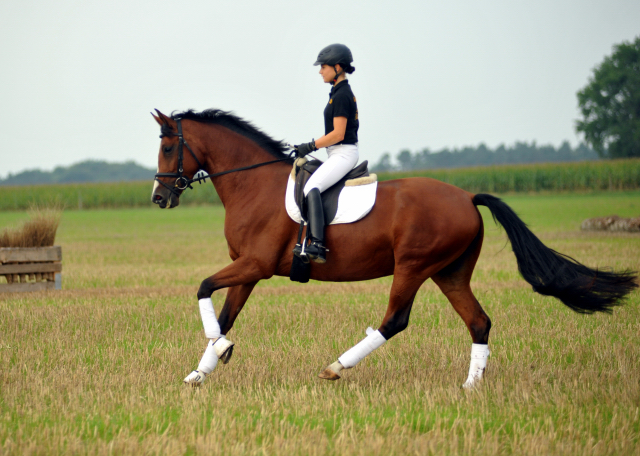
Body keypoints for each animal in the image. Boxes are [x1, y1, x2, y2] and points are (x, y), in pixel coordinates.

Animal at [152, 108, 636, 386]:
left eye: (169, 146)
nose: (158, 198)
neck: (253, 184)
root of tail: (466, 196)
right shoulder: (248, 269)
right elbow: (225, 313)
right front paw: (201, 371)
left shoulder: (256, 264)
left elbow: (203, 287)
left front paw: (218, 352)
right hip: (450, 271)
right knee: (478, 321)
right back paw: (470, 387)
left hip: (414, 266)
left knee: (395, 320)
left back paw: (336, 367)